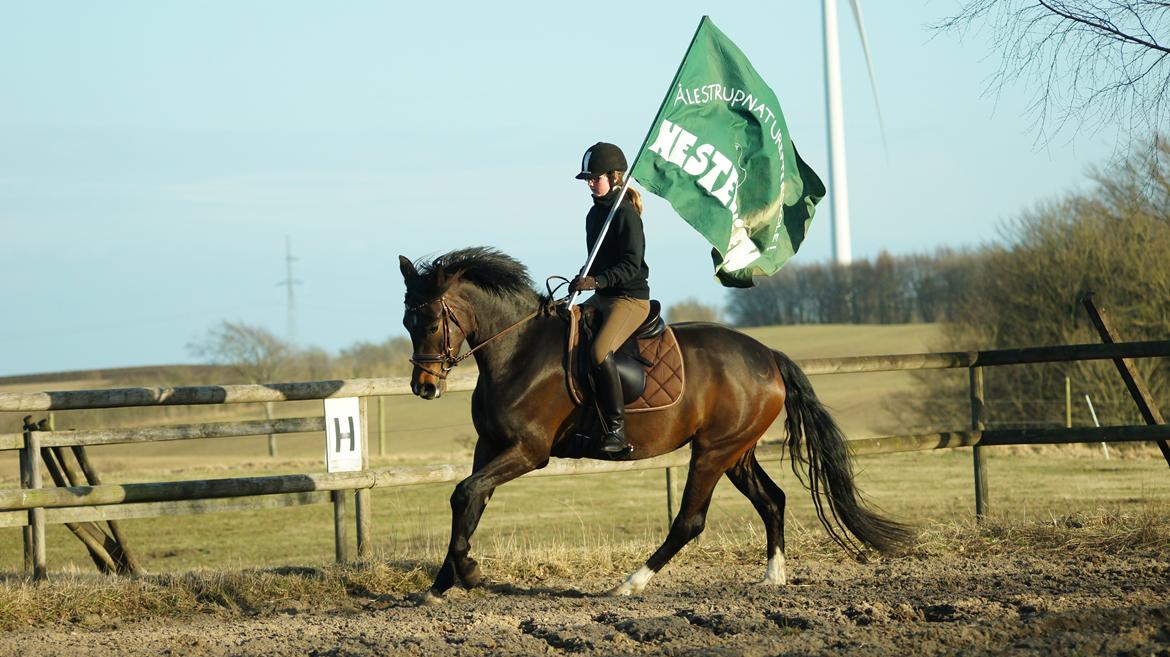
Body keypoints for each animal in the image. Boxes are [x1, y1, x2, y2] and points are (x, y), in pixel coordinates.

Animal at [402, 246, 912, 603]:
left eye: (431, 322)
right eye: (407, 321)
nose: (423, 388)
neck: (518, 350)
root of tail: (767, 355)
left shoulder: (529, 452)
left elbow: (464, 493)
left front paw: (466, 573)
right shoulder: (490, 447)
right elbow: (469, 501)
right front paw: (441, 583)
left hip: (711, 452)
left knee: (690, 521)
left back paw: (628, 584)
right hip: (736, 452)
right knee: (773, 500)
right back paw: (773, 577)